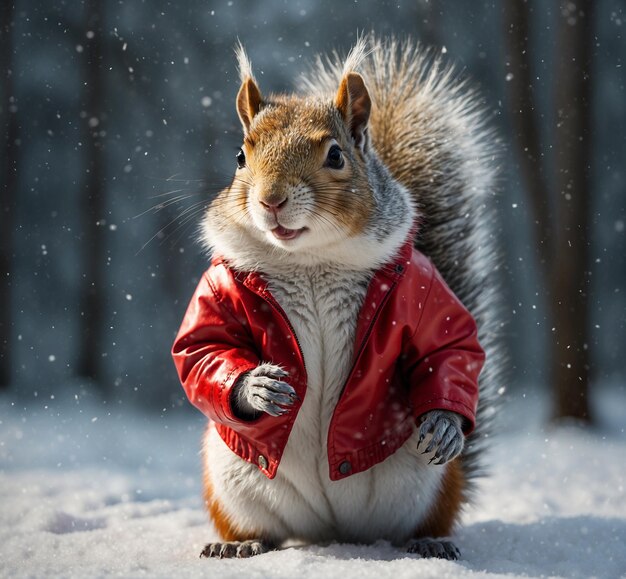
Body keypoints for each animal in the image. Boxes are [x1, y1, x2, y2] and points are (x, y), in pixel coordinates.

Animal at [172, 35, 502, 560]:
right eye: (240, 157)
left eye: (335, 155)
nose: (271, 200)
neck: (310, 260)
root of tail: (334, 531)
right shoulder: (217, 285)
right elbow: (202, 346)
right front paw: (257, 387)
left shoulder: (419, 281)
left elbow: (449, 344)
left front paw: (447, 421)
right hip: (232, 476)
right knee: (260, 525)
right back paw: (243, 545)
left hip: (425, 482)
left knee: (416, 521)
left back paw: (428, 540)